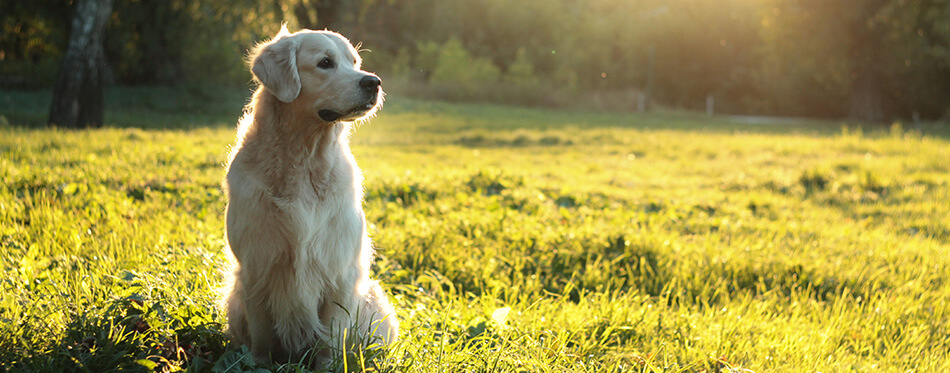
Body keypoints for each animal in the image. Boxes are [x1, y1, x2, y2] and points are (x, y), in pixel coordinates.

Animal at [222, 26, 398, 364]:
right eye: (325, 63)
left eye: (354, 62)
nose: (373, 81)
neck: (305, 156)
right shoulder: (256, 267)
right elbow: (261, 336)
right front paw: (259, 364)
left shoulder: (339, 271)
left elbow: (331, 337)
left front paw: (329, 366)